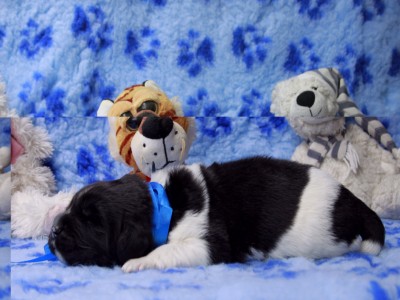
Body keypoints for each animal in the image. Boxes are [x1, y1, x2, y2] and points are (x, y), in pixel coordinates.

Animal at [48, 157, 386, 272]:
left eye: (92, 221)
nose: (54, 232)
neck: (164, 203)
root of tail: (353, 201)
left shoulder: (208, 243)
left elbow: (168, 250)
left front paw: (138, 262)